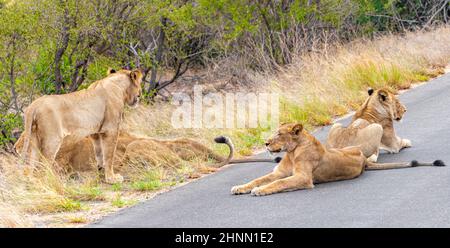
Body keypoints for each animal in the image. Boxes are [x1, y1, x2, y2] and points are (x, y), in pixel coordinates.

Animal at [230, 122, 444, 196]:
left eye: (280, 134)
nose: (266, 143)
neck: (292, 151)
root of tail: (363, 160)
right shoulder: (279, 172)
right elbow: (258, 179)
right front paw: (240, 187)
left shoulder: (303, 178)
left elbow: (279, 183)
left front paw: (260, 191)